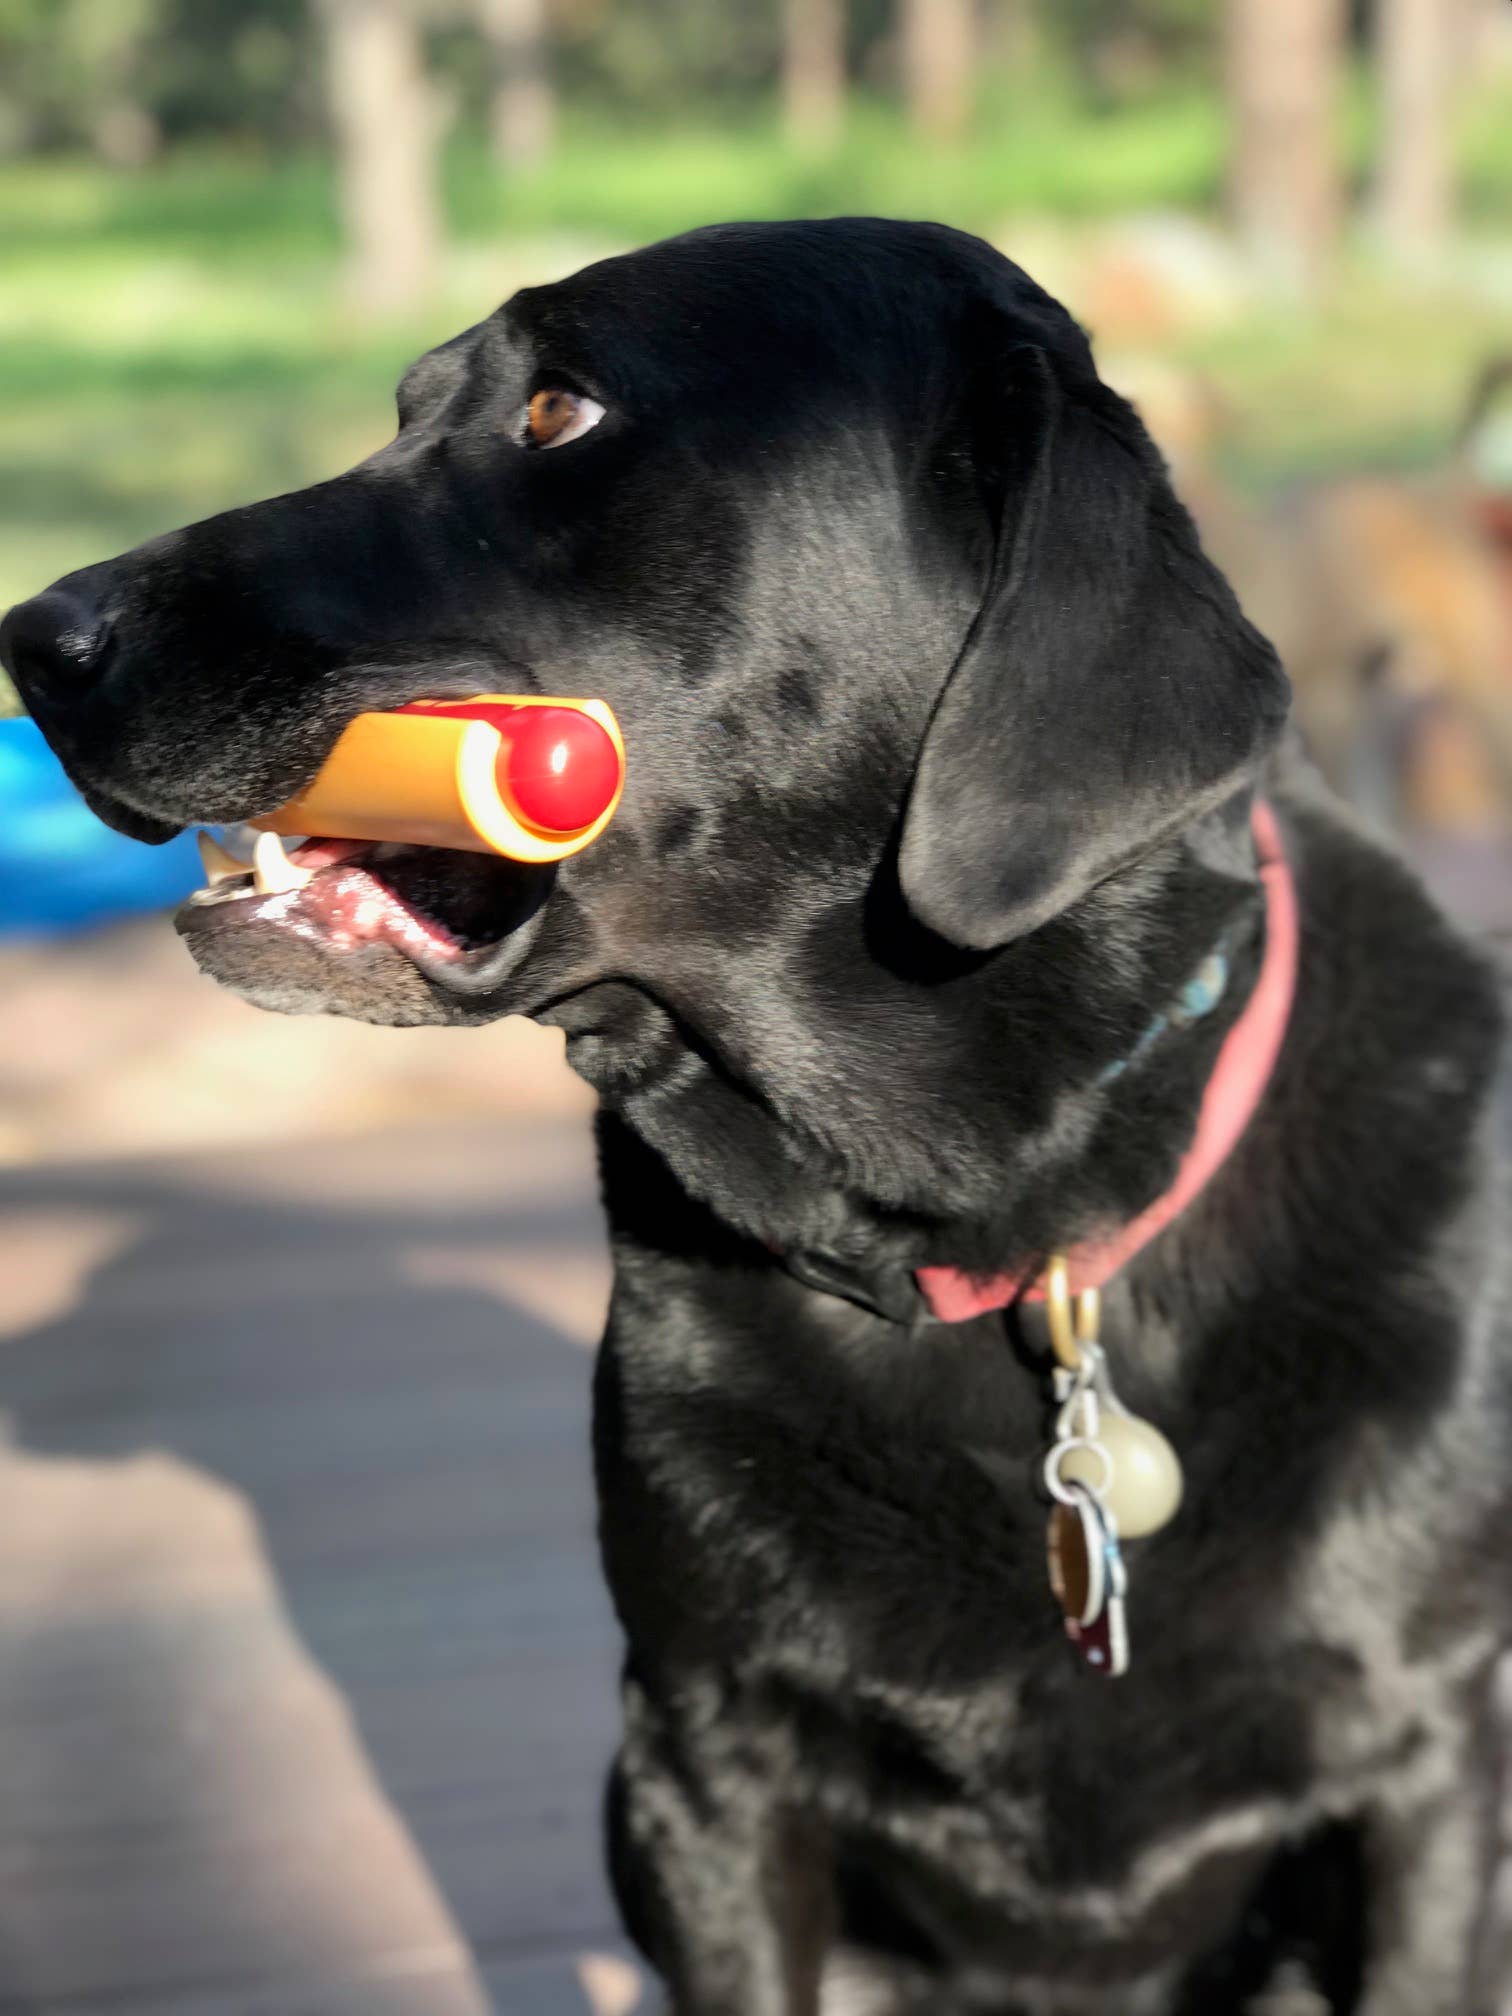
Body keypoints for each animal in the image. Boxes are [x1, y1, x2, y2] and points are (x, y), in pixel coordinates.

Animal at [5, 212, 1507, 2007]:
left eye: (560, 411)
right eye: (409, 406)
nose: (35, 638)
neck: (989, 1225)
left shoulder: (1422, 1766)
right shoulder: (701, 1760)